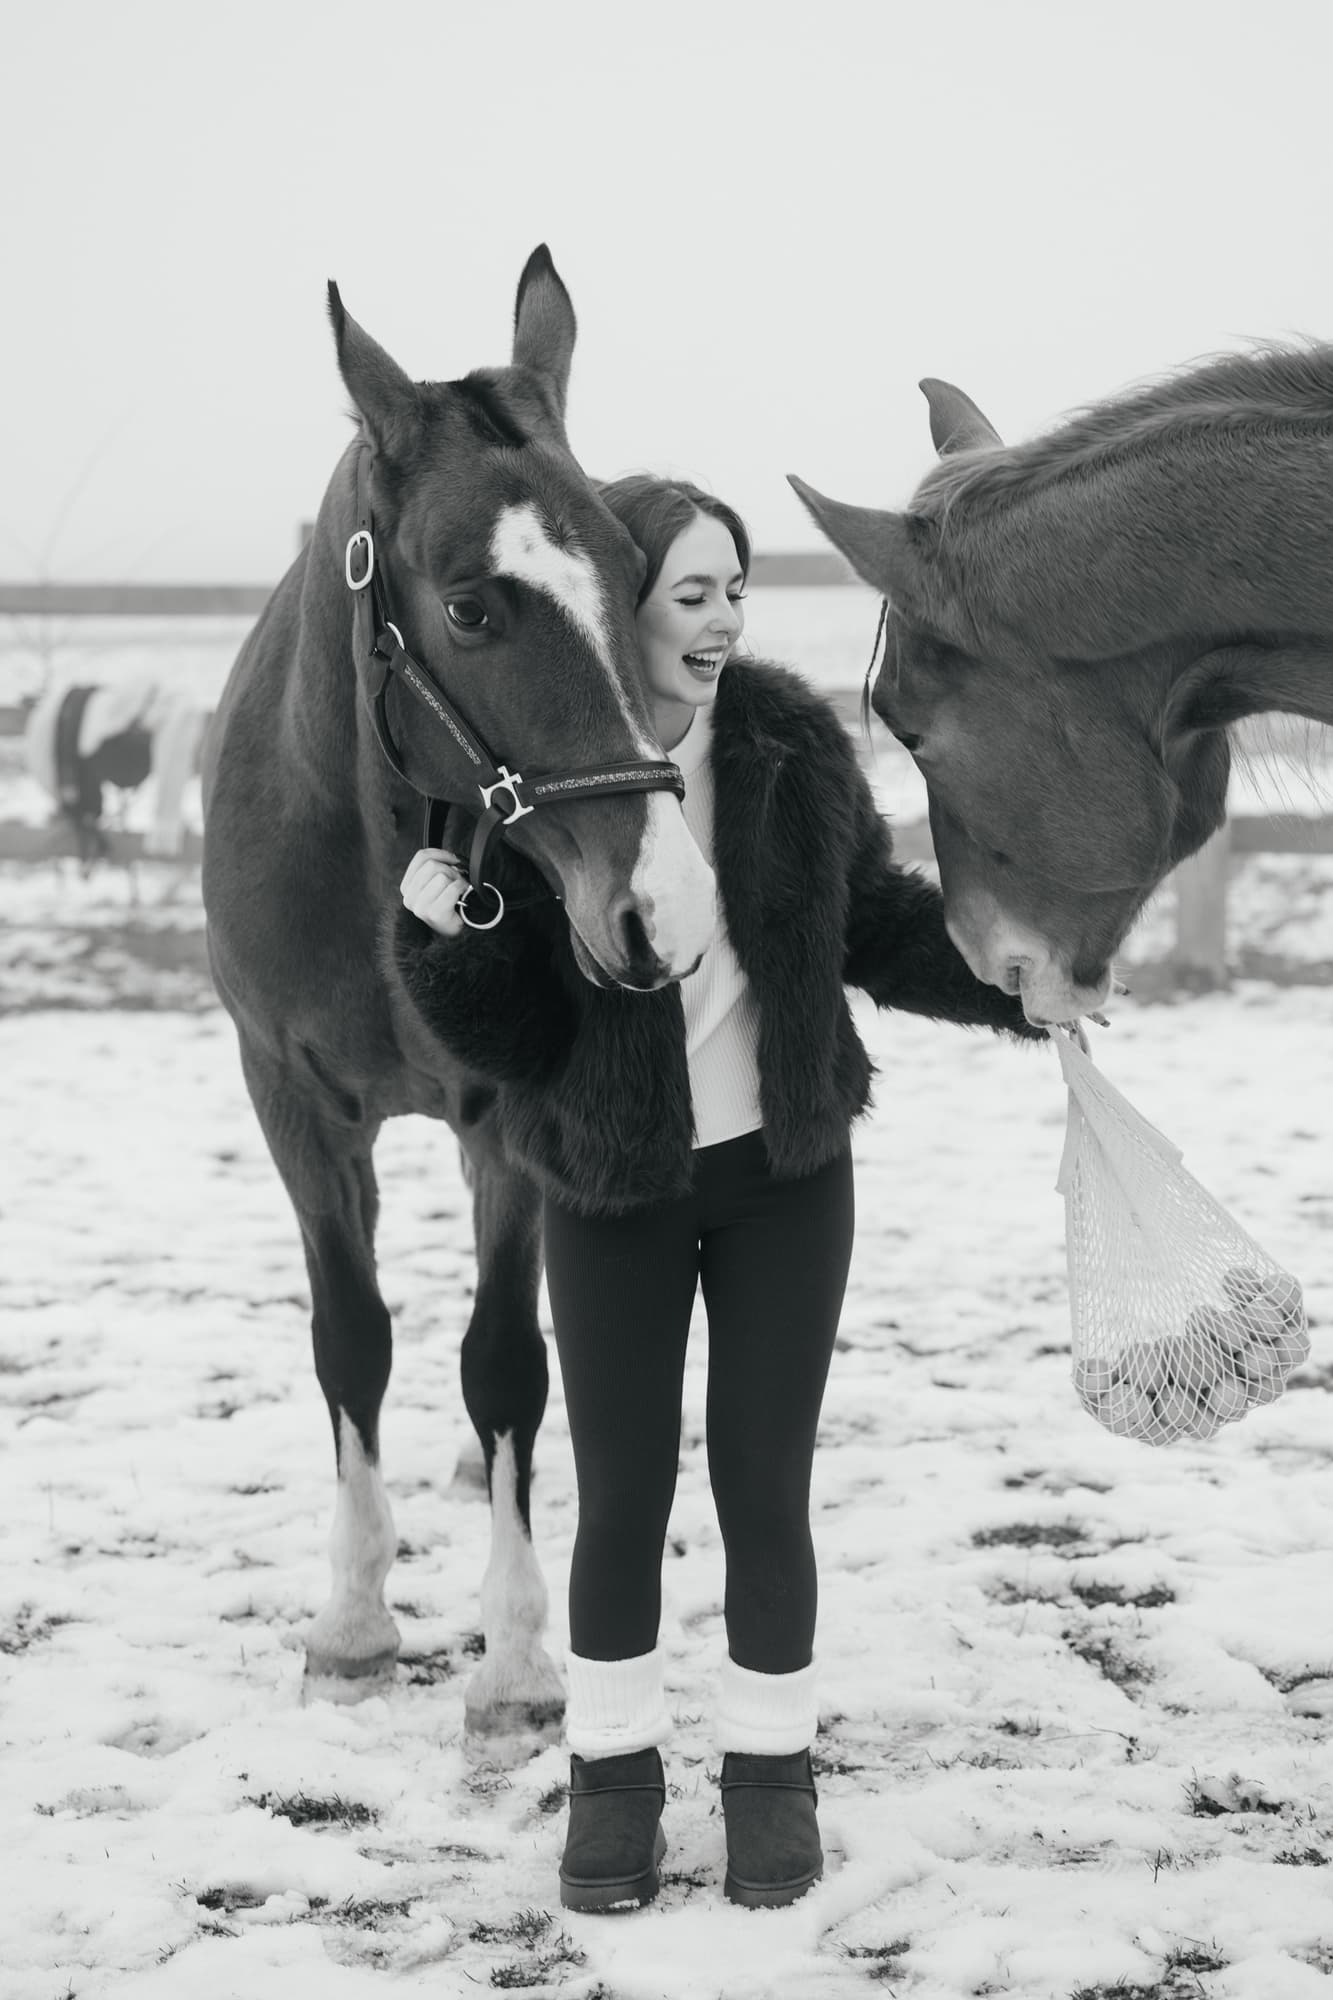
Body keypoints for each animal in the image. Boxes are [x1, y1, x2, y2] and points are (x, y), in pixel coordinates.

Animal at [201, 247, 715, 1744]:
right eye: (472, 604)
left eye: (630, 571)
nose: (661, 903)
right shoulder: (293, 1107)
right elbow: (352, 1340)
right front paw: (355, 1622)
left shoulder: (506, 1125)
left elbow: (505, 1363)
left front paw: (520, 1656)